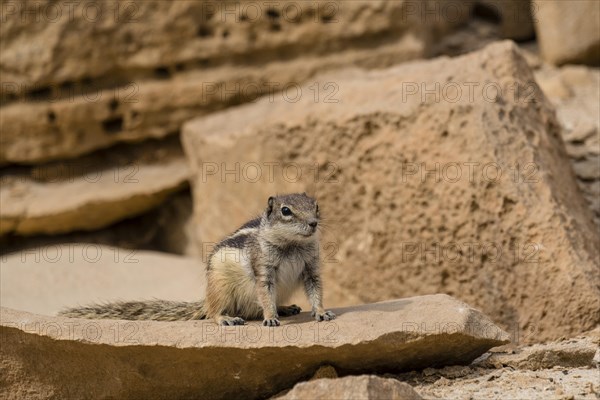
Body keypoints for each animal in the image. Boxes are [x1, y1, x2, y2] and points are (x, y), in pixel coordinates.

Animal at [59, 194, 338, 328]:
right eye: (286, 211)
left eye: (316, 206)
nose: (313, 223)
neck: (292, 245)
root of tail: (205, 300)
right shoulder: (263, 268)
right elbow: (264, 293)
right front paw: (270, 318)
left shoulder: (311, 267)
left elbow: (315, 289)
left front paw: (321, 312)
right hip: (221, 286)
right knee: (216, 312)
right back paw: (226, 319)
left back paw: (286, 308)